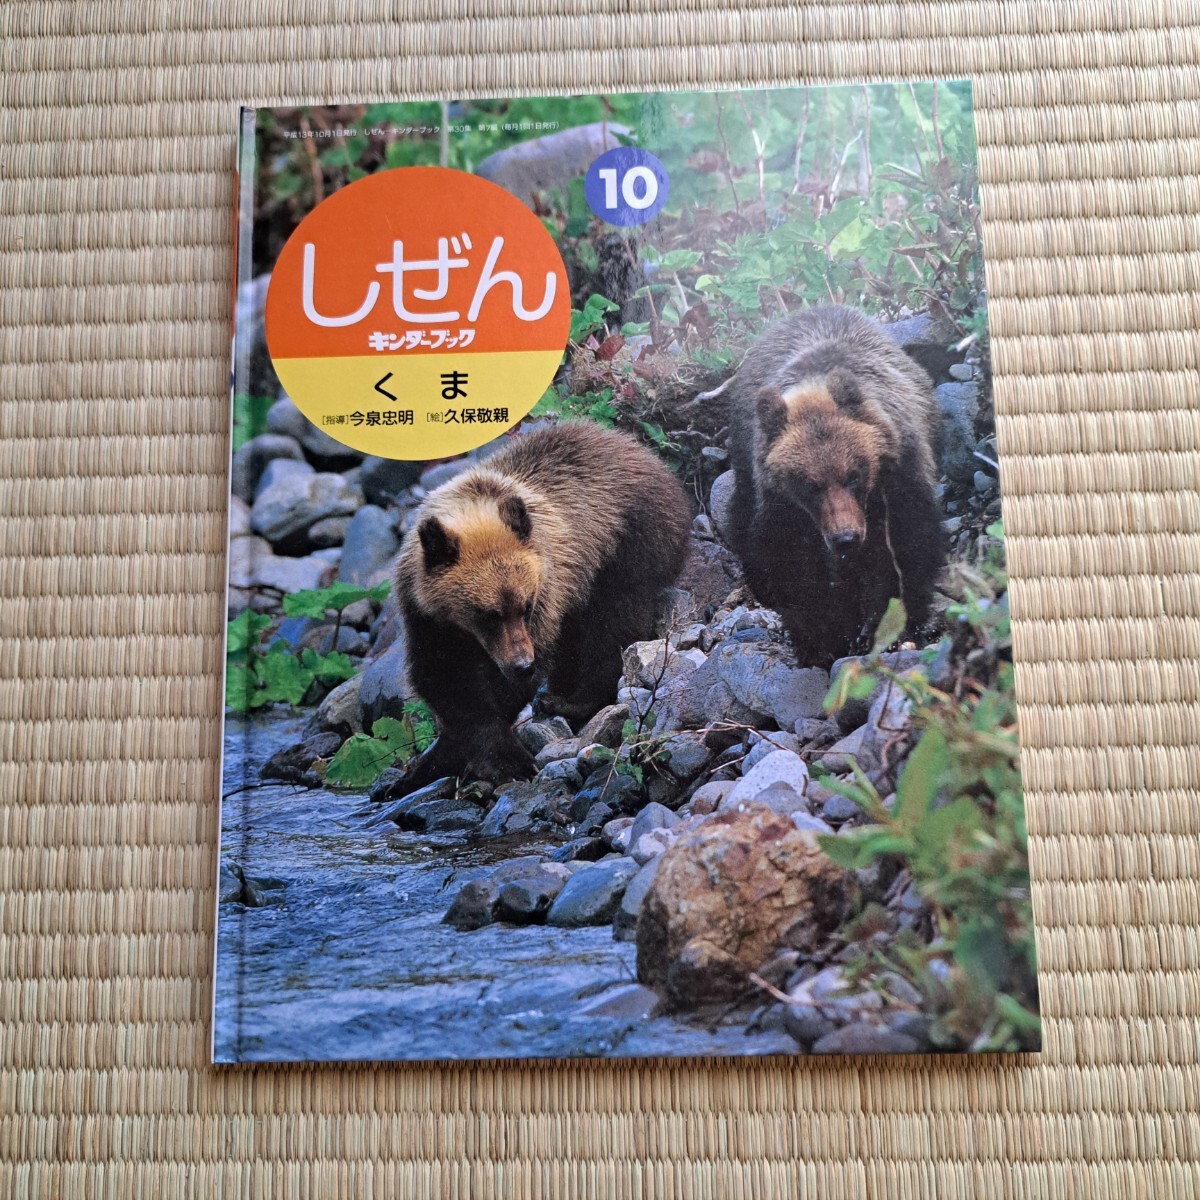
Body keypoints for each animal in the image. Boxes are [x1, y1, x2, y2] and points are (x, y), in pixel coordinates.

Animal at [392, 421, 691, 796]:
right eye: (487, 614)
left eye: (526, 605)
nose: (522, 664)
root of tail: (641, 449)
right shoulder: (423, 614)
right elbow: (443, 678)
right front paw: (424, 767)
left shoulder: (550, 589)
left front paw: (503, 760)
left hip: (627, 545)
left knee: (612, 622)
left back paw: (568, 700)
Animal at [725, 305, 945, 666]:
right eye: (809, 485)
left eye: (853, 474)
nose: (845, 538)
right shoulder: (781, 507)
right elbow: (792, 570)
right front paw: (823, 638)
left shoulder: (899, 475)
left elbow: (906, 547)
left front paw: (886, 628)